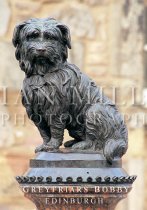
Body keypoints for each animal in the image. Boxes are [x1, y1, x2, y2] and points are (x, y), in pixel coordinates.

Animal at [12, 17, 127, 162]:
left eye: (51, 37)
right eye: (32, 36)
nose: (41, 49)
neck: (43, 72)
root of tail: (122, 141)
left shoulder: (56, 109)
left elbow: (55, 129)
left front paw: (52, 146)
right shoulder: (35, 112)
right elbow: (44, 132)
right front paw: (45, 145)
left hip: (95, 111)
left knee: (95, 141)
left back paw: (82, 145)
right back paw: (72, 142)